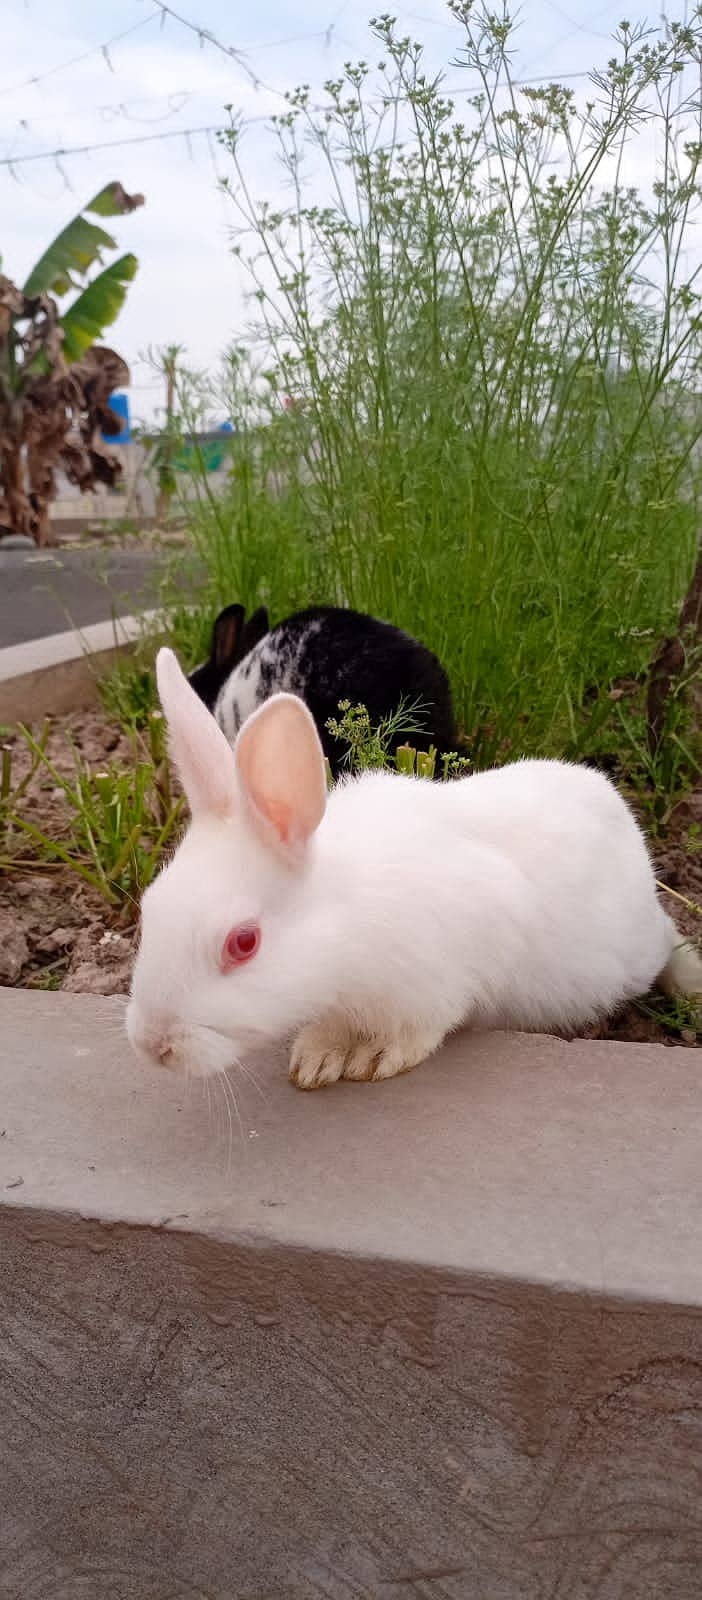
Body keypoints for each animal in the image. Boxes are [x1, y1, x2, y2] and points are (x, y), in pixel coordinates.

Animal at [127, 649, 702, 1088]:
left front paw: (373, 1059)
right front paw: (317, 1057)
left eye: (243, 943)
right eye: (149, 909)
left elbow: (428, 1024)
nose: (152, 1045)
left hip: (637, 950)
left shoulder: (451, 967)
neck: (346, 925)